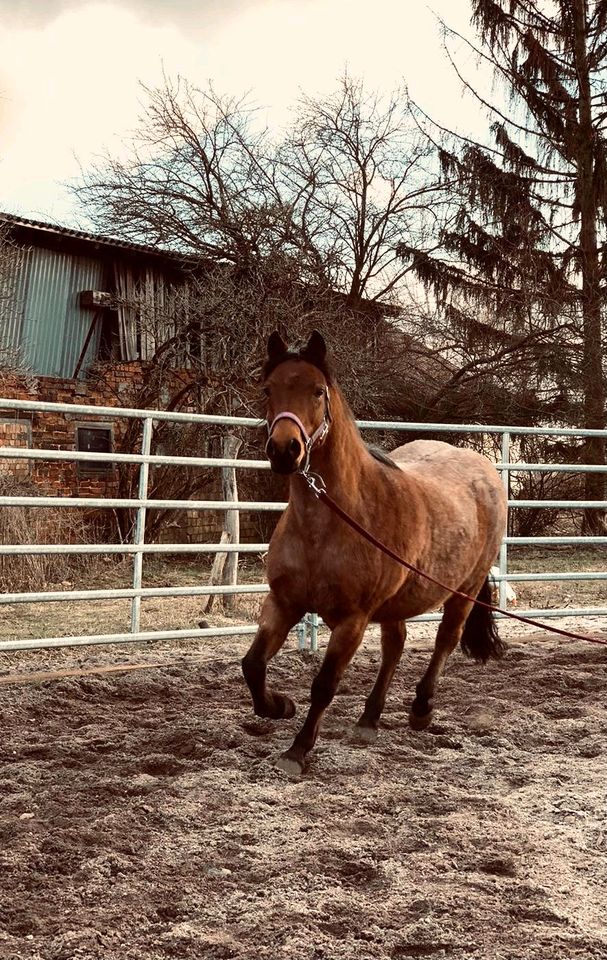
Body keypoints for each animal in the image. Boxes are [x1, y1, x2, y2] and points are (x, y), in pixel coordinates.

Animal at [242, 330, 508, 772]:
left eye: (318, 390)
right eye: (268, 389)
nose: (284, 450)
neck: (330, 524)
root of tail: (484, 469)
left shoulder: (353, 619)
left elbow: (324, 684)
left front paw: (298, 750)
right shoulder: (283, 602)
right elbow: (252, 665)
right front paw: (279, 706)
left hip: (464, 590)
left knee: (445, 640)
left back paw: (421, 710)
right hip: (399, 600)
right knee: (395, 644)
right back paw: (369, 719)